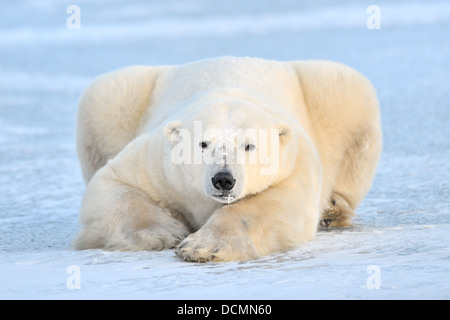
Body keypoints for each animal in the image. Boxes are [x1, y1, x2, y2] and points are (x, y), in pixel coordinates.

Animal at [73, 57, 380, 262]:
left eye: (249, 145)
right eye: (203, 143)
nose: (223, 179)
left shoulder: (294, 158)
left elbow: (277, 202)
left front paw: (201, 246)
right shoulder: (158, 162)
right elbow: (111, 184)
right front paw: (166, 234)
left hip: (328, 93)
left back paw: (333, 210)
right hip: (125, 96)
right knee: (103, 99)